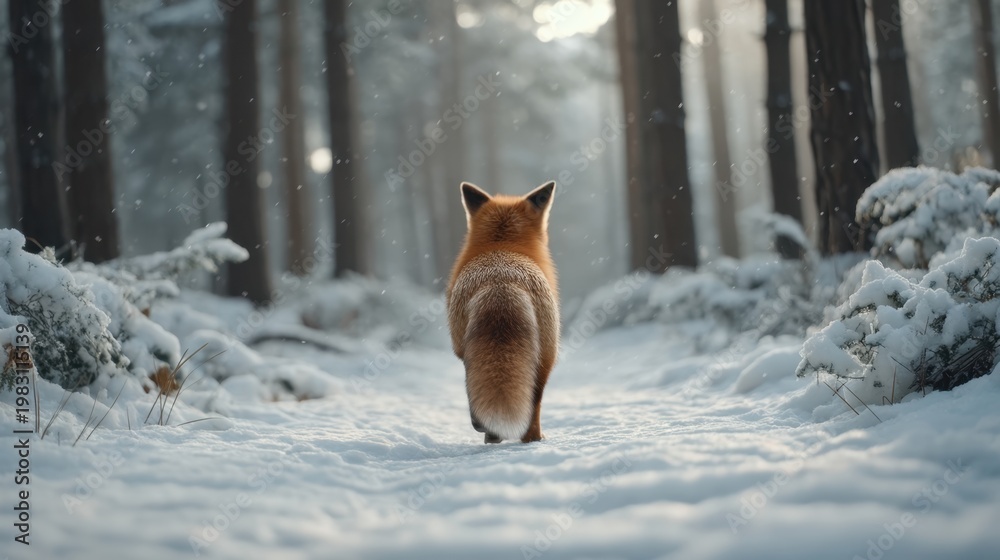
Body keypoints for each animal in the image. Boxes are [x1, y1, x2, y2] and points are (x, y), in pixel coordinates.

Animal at [447, 181, 560, 444]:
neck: (501, 245)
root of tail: (502, 282)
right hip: (546, 359)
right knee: (534, 404)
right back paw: (532, 439)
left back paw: (493, 435)